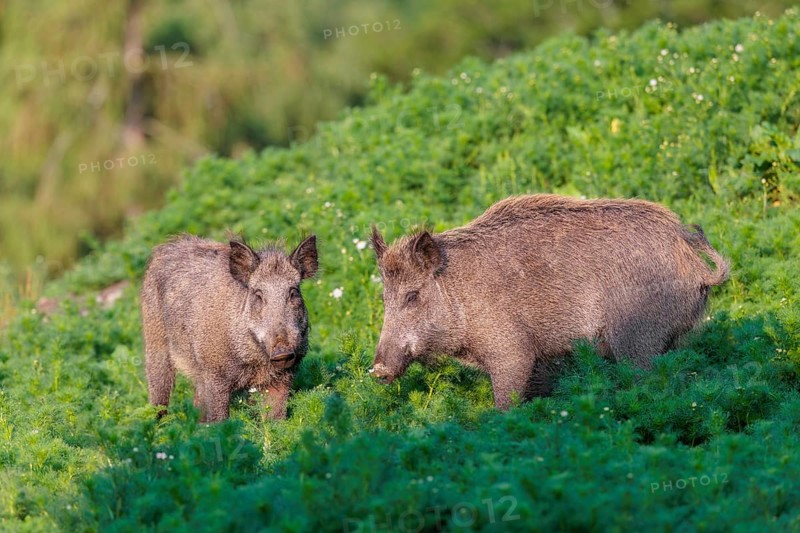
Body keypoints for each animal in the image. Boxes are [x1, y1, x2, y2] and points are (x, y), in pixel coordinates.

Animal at [141, 233, 318, 422]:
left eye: (293, 292)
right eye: (258, 295)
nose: (282, 351)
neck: (256, 360)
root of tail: (167, 246)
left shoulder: (283, 378)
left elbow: (276, 418)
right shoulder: (215, 375)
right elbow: (219, 419)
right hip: (155, 343)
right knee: (159, 395)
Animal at [370, 194, 729, 409]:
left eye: (412, 295)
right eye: (384, 298)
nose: (376, 371)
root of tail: (694, 264)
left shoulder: (512, 353)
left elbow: (505, 404)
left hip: (638, 339)